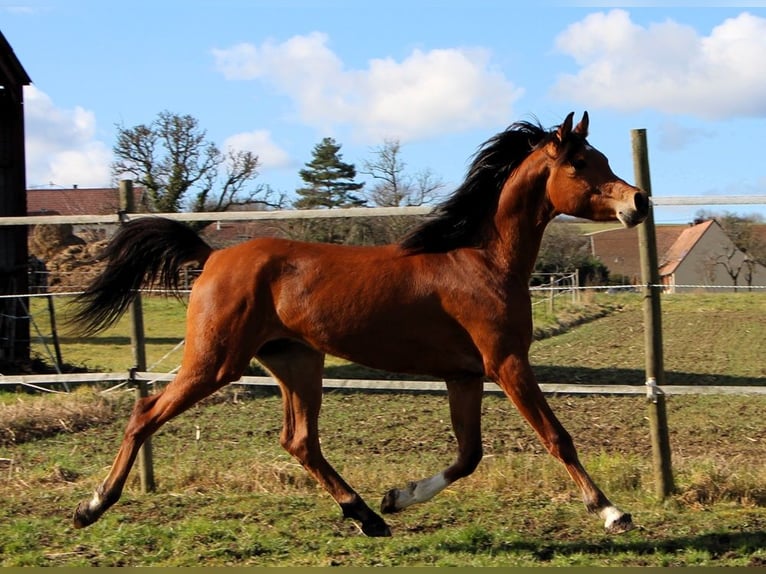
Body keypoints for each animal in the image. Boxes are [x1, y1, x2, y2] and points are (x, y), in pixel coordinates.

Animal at [72, 112, 648, 540]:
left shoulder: (464, 374)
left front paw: (397, 498)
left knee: (299, 440)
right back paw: (92, 506)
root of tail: (212, 256)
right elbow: (556, 437)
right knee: (146, 412)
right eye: (580, 163)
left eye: (603, 158)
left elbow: (469, 455)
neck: (481, 260)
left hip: (297, 361)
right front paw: (611, 512)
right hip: (215, 360)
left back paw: (366, 515)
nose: (639, 201)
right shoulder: (506, 362)